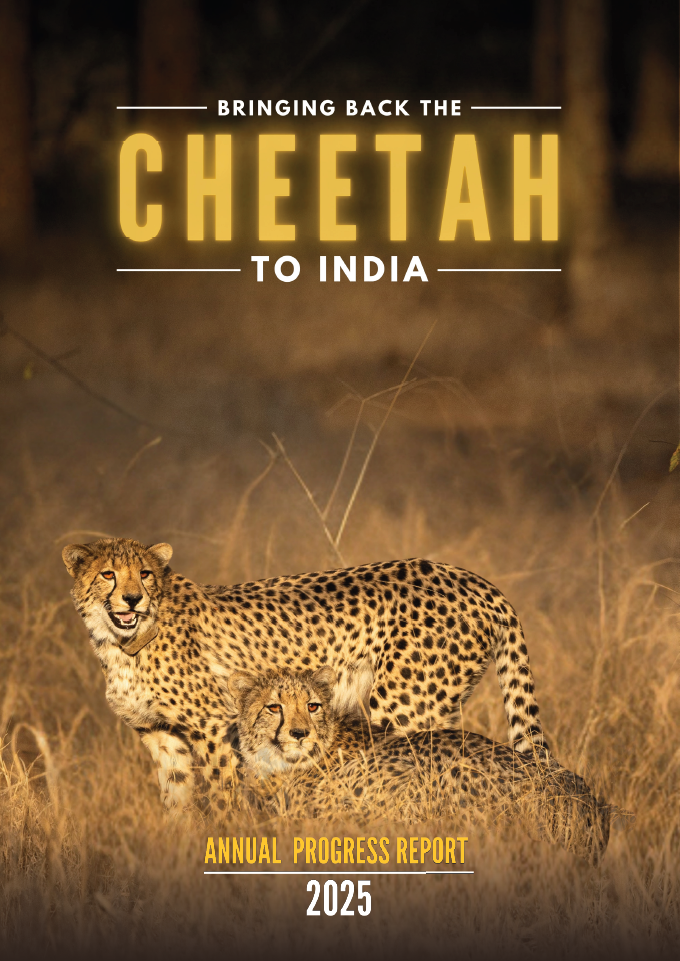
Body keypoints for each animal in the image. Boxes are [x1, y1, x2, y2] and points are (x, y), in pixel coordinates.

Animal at [62, 536, 549, 814]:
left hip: (402, 707)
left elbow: (222, 798)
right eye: (108, 574)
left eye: (145, 573)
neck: (121, 642)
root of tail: (475, 580)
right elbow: (177, 803)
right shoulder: (160, 735)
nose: (131, 599)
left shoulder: (215, 729)